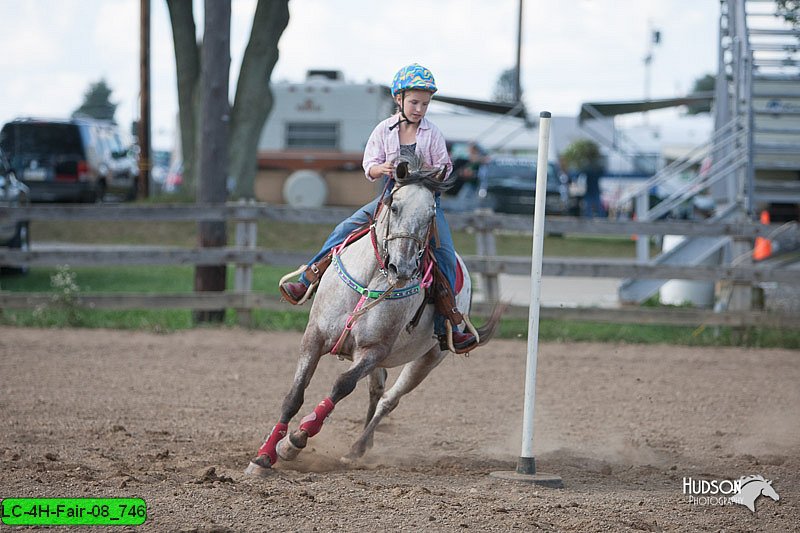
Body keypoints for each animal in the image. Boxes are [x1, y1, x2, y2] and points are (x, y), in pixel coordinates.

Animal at [247, 154, 504, 474]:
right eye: (394, 206)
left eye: (431, 215)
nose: (402, 268)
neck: (373, 276)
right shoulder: (314, 337)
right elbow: (294, 396)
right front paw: (264, 455)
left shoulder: (373, 350)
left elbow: (342, 385)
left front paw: (295, 441)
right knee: (377, 390)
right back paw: (361, 446)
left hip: (428, 359)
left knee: (389, 400)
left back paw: (357, 448)